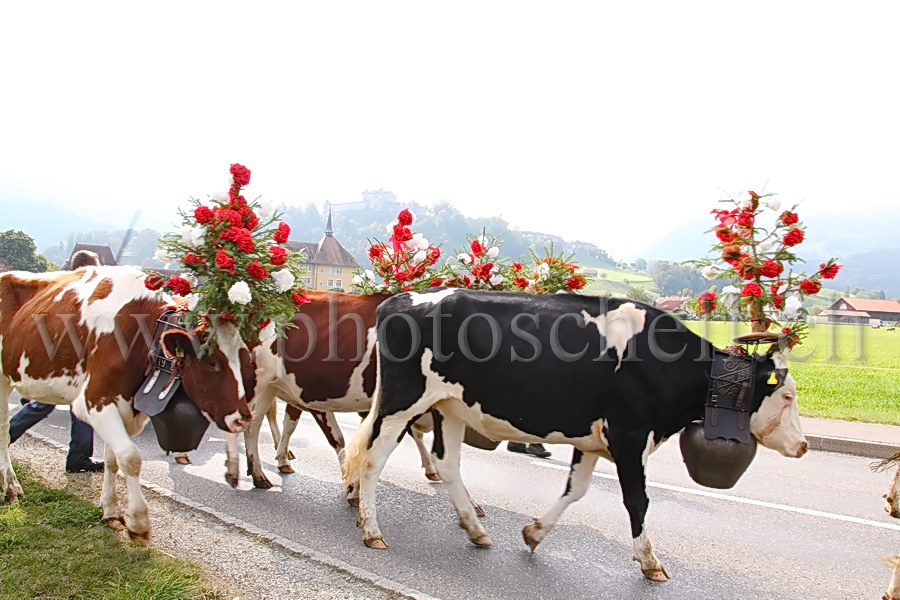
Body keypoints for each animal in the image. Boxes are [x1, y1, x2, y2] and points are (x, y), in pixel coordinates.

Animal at [1, 264, 253, 540]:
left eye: (246, 360)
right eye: (211, 362)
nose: (243, 418)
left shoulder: (123, 404)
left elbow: (114, 460)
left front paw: (111, 511)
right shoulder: (93, 400)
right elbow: (130, 458)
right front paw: (139, 522)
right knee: (3, 431)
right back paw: (11, 487)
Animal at [344, 290, 808, 580]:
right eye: (786, 395)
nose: (803, 446)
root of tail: (402, 298)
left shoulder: (594, 440)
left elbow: (576, 490)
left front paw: (534, 533)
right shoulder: (630, 435)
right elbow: (638, 500)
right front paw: (650, 562)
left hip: (451, 405)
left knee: (447, 464)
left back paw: (474, 528)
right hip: (402, 400)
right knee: (372, 458)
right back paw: (371, 530)